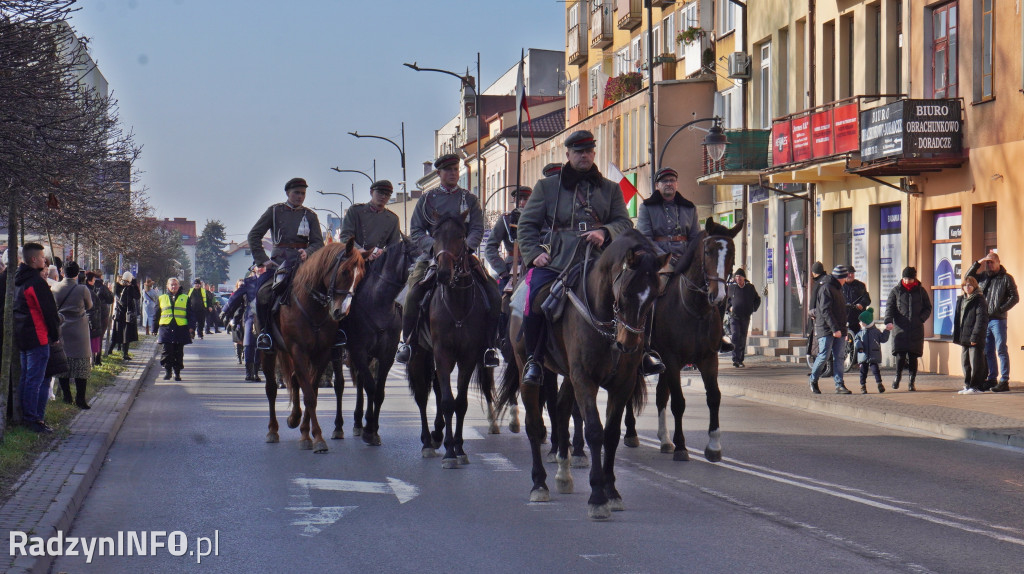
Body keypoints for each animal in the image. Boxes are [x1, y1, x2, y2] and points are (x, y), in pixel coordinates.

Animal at [262, 239, 366, 454]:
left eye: (361, 276)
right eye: (344, 271)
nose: (341, 312)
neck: (313, 306)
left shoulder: (322, 353)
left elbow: (313, 391)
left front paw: (306, 432)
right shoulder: (298, 351)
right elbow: (309, 395)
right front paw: (316, 437)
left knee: (295, 379)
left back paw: (294, 418)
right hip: (269, 353)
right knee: (271, 388)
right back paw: (272, 430)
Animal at [333, 236, 417, 444]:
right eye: (414, 253)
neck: (379, 304)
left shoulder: (385, 356)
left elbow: (378, 391)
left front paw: (372, 429)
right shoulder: (359, 350)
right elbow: (371, 387)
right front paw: (369, 430)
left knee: (361, 382)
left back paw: (358, 422)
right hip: (338, 351)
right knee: (340, 385)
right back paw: (338, 427)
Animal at [405, 212, 493, 468]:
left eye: (461, 236)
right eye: (434, 236)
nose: (443, 273)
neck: (457, 304)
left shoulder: (467, 357)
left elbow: (460, 402)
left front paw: (459, 448)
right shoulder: (442, 353)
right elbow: (446, 401)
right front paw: (450, 452)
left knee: (435, 389)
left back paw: (437, 435)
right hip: (419, 353)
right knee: (423, 395)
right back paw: (427, 442)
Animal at [497, 229, 671, 519]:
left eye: (655, 295)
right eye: (626, 291)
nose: (628, 344)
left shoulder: (621, 384)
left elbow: (611, 434)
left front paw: (611, 492)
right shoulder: (585, 379)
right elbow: (594, 431)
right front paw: (598, 496)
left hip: (568, 376)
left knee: (560, 409)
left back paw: (563, 474)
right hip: (527, 368)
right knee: (534, 424)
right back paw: (539, 484)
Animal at [618, 217, 741, 460]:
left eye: (731, 252)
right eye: (708, 251)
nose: (719, 295)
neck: (694, 309)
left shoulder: (708, 358)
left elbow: (713, 396)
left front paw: (713, 446)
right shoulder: (673, 360)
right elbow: (678, 402)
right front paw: (682, 446)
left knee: (659, 396)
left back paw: (665, 440)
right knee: (630, 392)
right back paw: (632, 434)